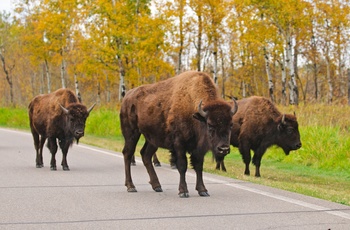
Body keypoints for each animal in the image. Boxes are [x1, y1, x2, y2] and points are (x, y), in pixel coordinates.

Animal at [120, 70, 238, 198]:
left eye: (231, 125)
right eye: (210, 125)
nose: (224, 149)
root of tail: (126, 97)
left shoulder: (198, 149)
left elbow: (199, 167)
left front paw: (203, 190)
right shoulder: (179, 144)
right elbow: (182, 166)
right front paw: (183, 191)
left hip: (152, 139)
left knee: (145, 154)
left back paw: (157, 186)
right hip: (131, 133)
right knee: (127, 153)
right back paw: (131, 186)